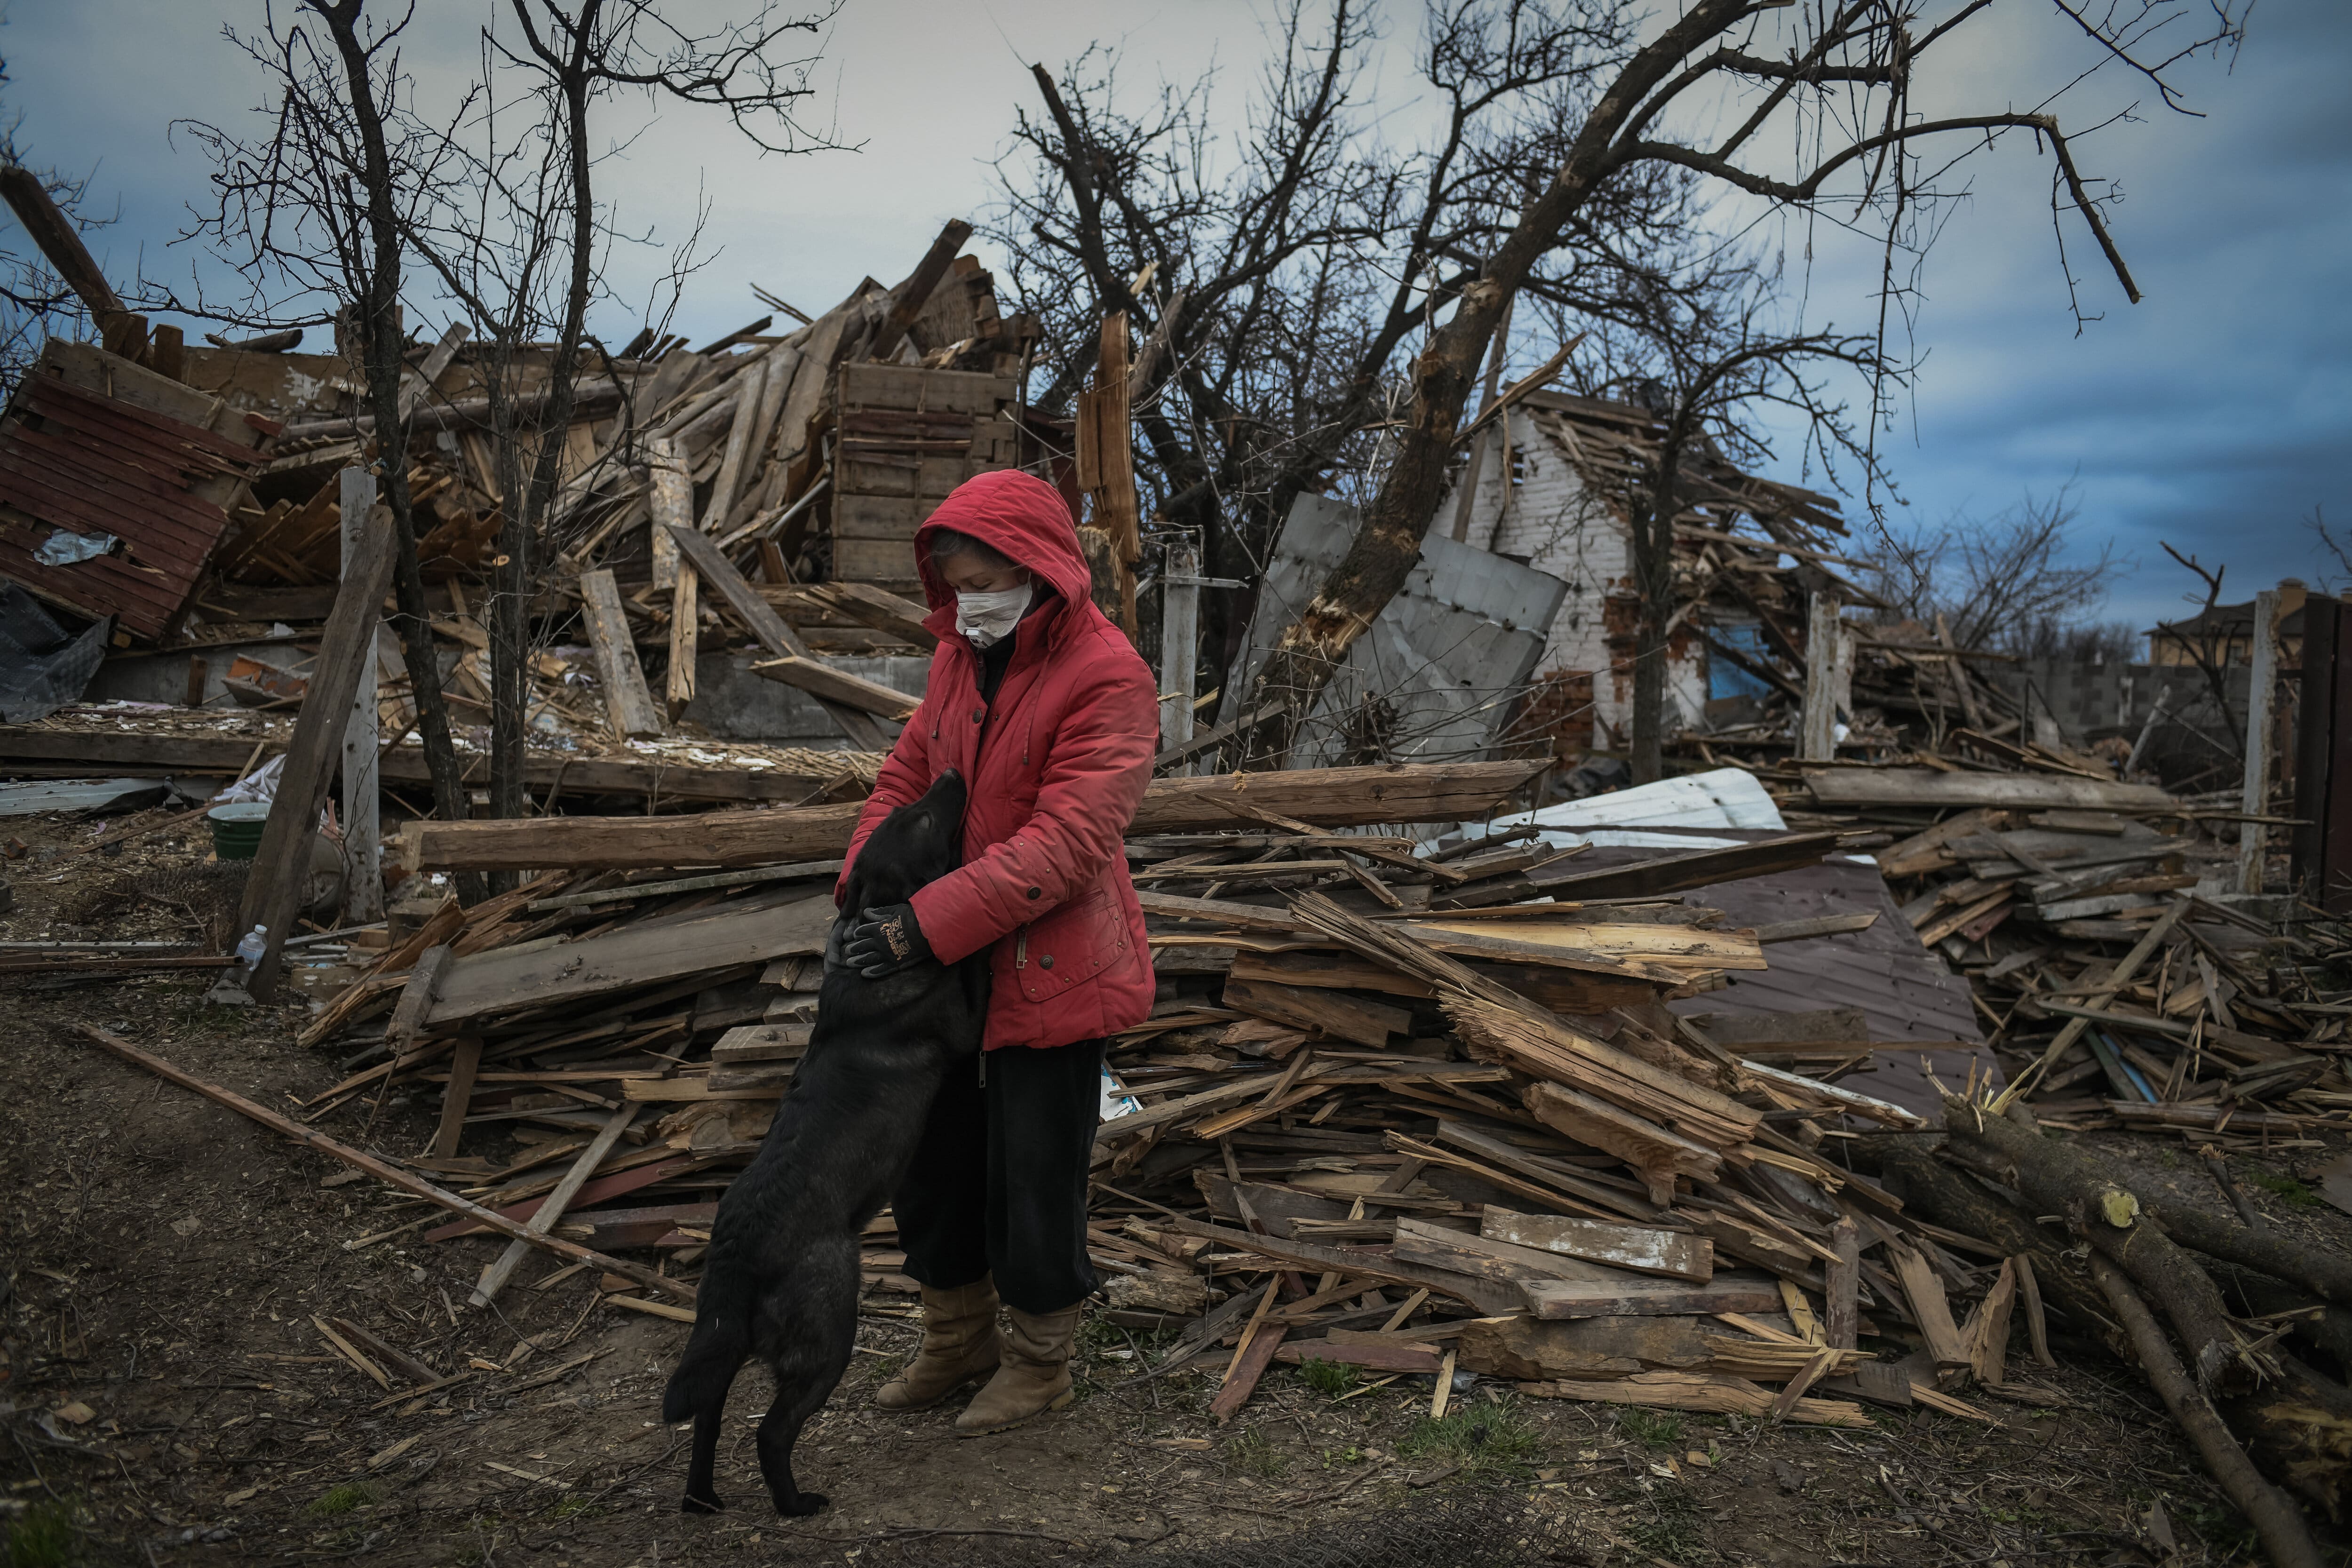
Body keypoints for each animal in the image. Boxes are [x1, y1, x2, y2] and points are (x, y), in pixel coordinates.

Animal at [663, 766, 983, 1514]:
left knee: (709, 1419)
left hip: (725, 1343)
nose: (952, 772)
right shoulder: (961, 1026)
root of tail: (735, 1249)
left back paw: (703, 1499)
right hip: (830, 1329)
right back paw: (795, 1504)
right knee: (771, 1431)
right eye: (923, 820)